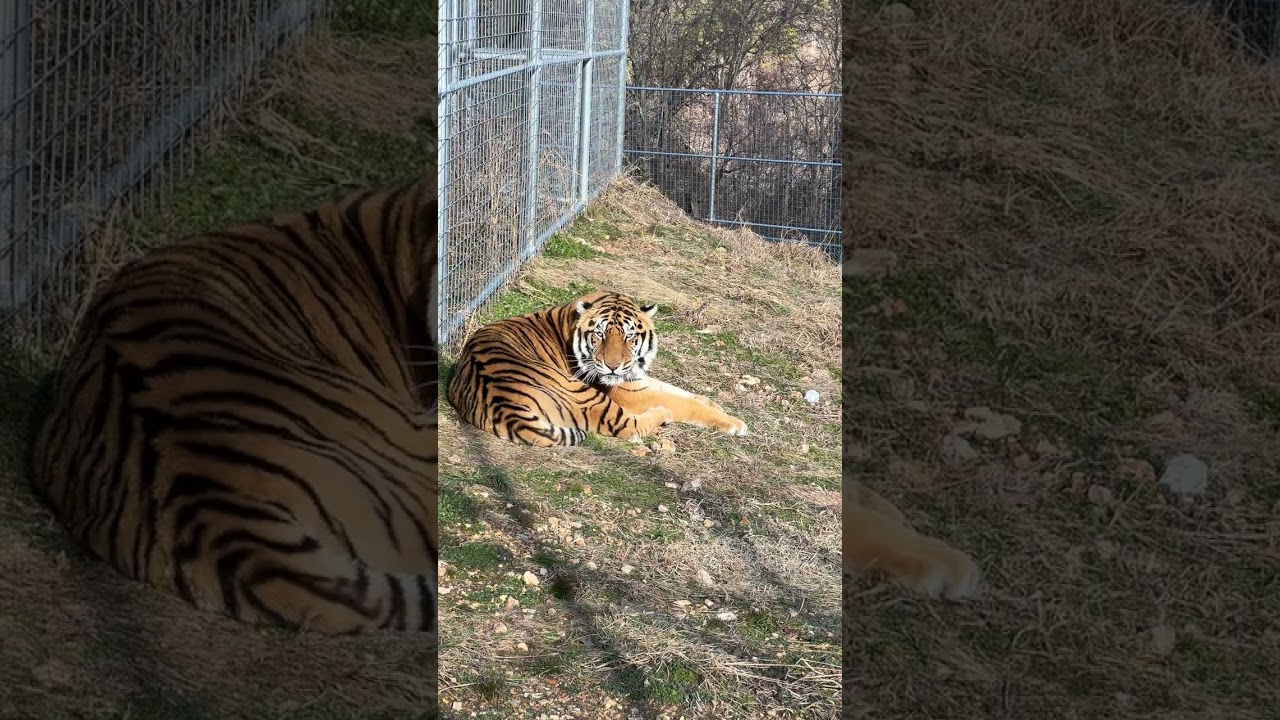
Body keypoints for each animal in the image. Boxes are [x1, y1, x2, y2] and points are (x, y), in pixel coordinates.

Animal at [446, 290, 749, 447]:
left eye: (629, 336)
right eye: (600, 335)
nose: (613, 367)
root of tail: (504, 404)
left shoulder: (635, 377)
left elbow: (676, 389)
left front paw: (713, 403)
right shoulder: (628, 393)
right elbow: (681, 402)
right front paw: (734, 423)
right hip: (582, 392)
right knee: (629, 427)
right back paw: (663, 415)